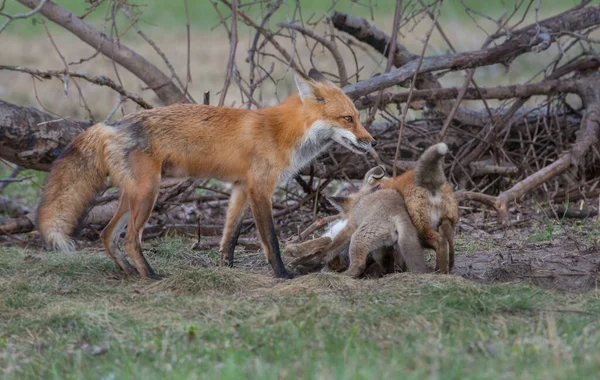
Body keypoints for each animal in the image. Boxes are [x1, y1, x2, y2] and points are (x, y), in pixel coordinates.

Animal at [36, 70, 376, 280]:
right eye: (348, 119)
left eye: (359, 118)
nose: (372, 142)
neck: (282, 133)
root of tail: (108, 125)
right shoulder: (260, 190)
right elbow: (271, 240)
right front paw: (281, 274)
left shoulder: (240, 189)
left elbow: (230, 236)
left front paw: (226, 269)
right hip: (148, 194)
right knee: (131, 239)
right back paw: (150, 275)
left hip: (132, 196)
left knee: (107, 234)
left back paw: (128, 272)